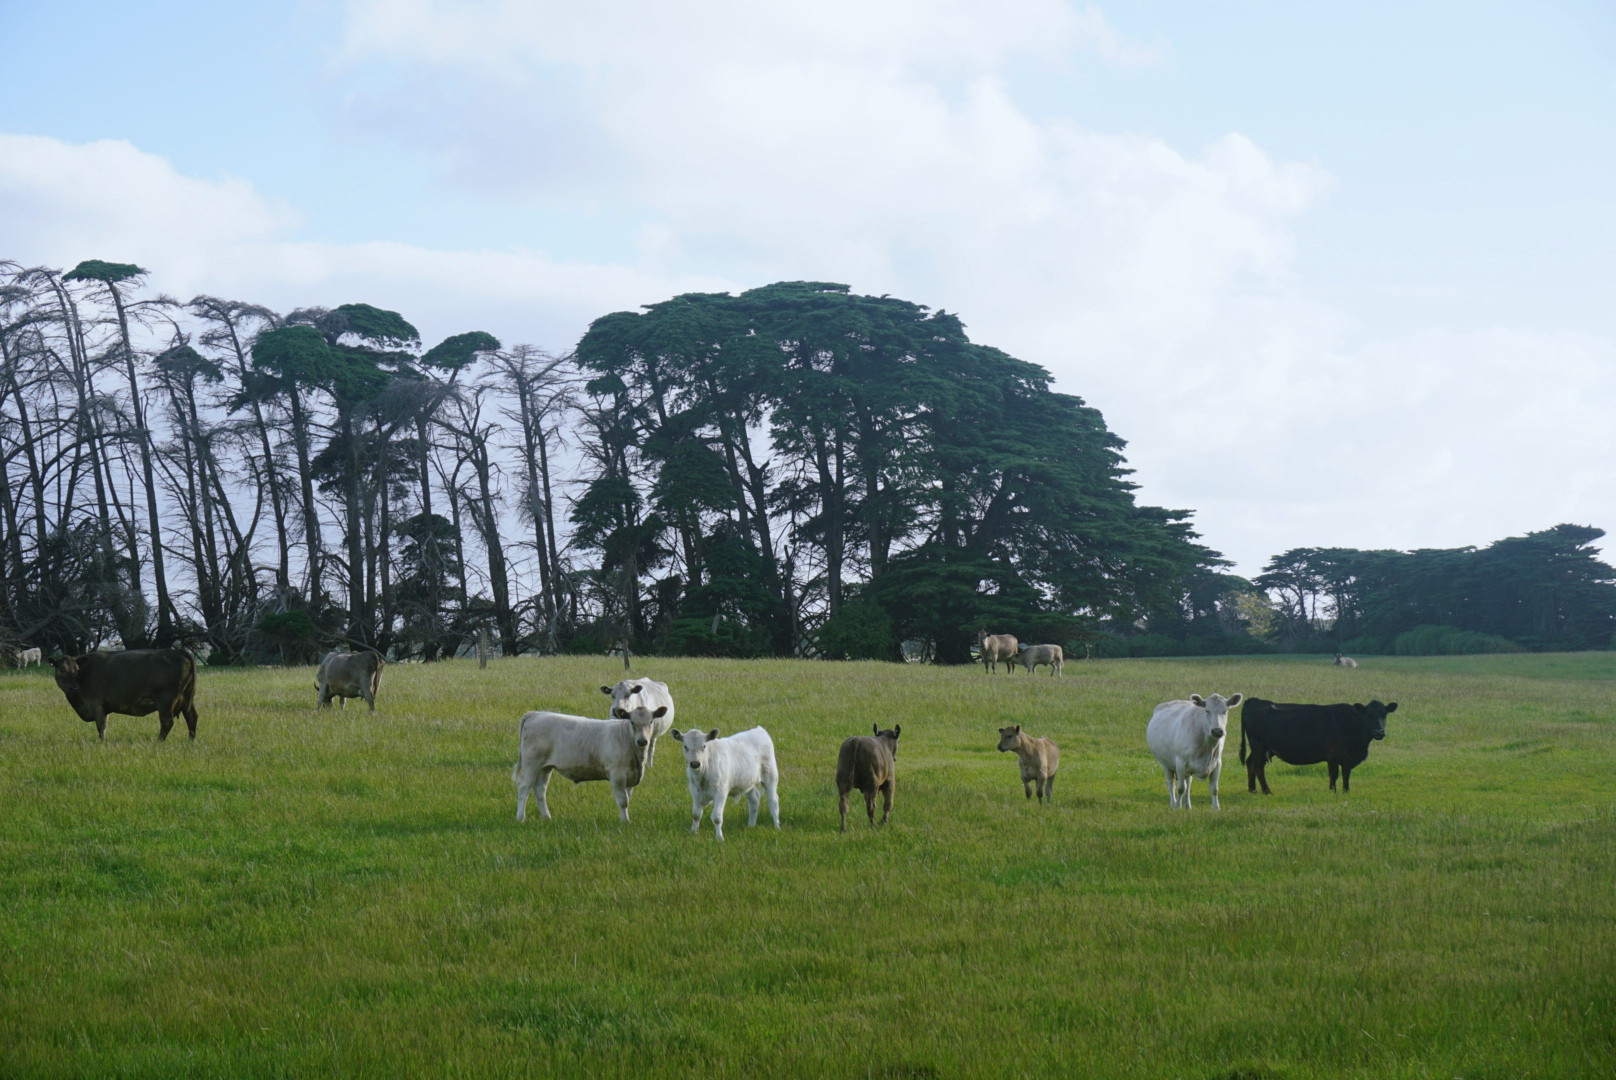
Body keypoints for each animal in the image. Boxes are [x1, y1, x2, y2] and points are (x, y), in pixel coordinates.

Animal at [52, 649, 200, 743]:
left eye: (77, 669)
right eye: (61, 669)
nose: (74, 687)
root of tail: (178, 651)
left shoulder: (97, 705)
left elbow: (101, 726)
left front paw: (102, 743)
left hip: (166, 701)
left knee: (167, 721)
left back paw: (158, 742)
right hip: (188, 698)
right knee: (191, 717)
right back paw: (191, 740)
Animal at [507, 704, 659, 821]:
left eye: (651, 722)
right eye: (632, 722)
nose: (642, 741)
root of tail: (535, 714)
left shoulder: (631, 777)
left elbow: (628, 799)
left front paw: (625, 819)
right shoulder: (618, 775)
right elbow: (623, 801)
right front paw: (625, 821)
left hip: (544, 767)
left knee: (540, 789)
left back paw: (546, 817)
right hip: (531, 763)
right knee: (524, 786)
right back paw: (520, 818)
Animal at [1241, 701, 1396, 792]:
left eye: (1384, 714)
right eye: (1369, 714)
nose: (1379, 732)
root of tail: (1253, 701)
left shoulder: (1347, 758)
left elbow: (1346, 774)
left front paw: (1346, 791)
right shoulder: (1333, 755)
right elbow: (1334, 774)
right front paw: (1332, 791)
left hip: (1261, 748)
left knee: (1250, 763)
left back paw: (1252, 789)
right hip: (1258, 745)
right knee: (1258, 767)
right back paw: (1267, 791)